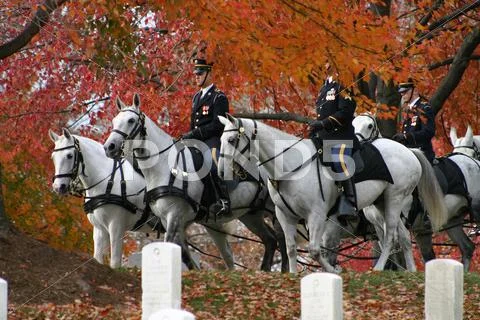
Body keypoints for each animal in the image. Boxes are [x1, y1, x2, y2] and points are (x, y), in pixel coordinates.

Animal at [49, 129, 148, 268]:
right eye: (53, 157)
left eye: (69, 155)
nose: (58, 187)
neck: (108, 180)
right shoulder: (99, 229)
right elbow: (97, 258)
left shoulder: (116, 227)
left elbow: (114, 263)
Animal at [102, 94, 282, 270]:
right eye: (114, 121)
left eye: (131, 120)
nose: (109, 147)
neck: (164, 166)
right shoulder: (171, 220)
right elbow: (184, 255)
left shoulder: (175, 214)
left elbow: (170, 246)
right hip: (251, 215)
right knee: (271, 240)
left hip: (275, 209)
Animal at [218, 115, 446, 272]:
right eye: (221, 139)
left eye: (231, 140)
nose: (221, 172)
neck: (291, 166)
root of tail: (409, 152)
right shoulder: (285, 216)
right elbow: (291, 248)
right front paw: (292, 275)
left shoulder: (318, 217)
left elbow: (316, 250)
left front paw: (333, 271)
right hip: (383, 203)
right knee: (403, 237)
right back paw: (412, 271)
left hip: (394, 199)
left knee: (390, 235)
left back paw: (379, 268)